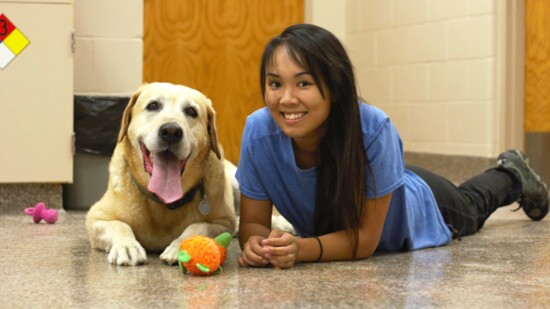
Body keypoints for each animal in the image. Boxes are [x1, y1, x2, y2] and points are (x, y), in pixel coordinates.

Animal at [86, 82, 237, 264]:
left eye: (191, 111)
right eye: (153, 105)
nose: (171, 131)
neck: (163, 201)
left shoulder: (224, 224)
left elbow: (198, 226)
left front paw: (179, 246)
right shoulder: (95, 217)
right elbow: (120, 225)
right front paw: (127, 246)